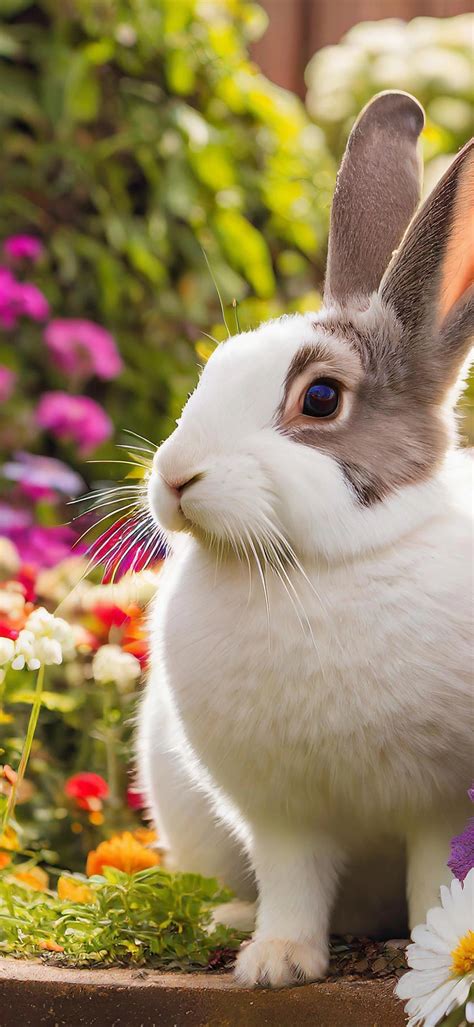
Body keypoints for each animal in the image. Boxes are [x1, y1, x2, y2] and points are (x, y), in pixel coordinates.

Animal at [138, 91, 473, 988]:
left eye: (320, 398)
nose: (174, 476)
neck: (319, 568)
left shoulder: (440, 804)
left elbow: (436, 880)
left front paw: (431, 955)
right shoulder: (282, 814)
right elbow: (292, 883)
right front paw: (274, 963)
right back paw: (230, 918)